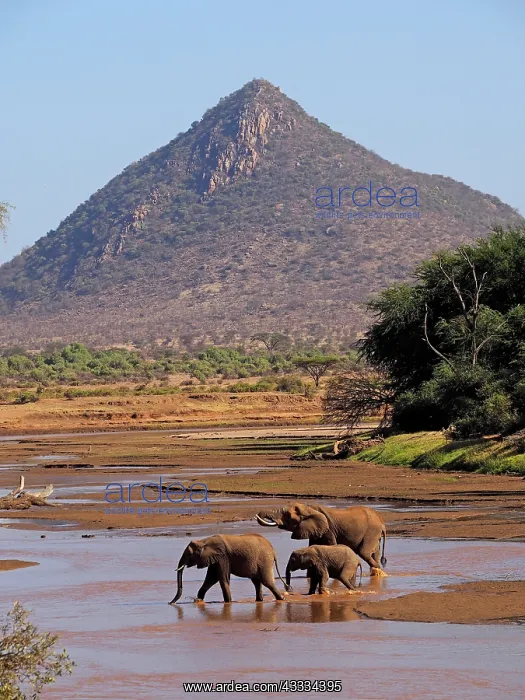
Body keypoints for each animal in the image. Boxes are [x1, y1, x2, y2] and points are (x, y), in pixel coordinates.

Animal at [256, 502, 387, 575]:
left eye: (287, 515)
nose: (256, 515)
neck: (309, 508)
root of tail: (382, 522)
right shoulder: (315, 530)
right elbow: (311, 547)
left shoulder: (328, 530)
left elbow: (330, 546)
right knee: (374, 553)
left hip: (372, 531)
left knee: (363, 552)